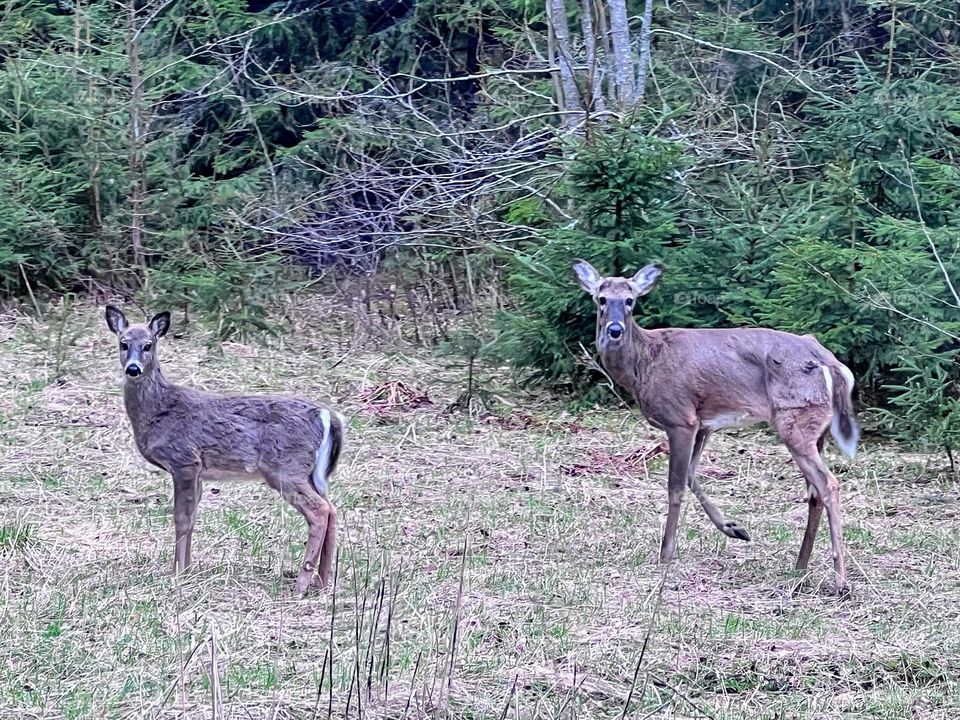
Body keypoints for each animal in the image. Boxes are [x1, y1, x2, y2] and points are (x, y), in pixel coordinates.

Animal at [104, 306, 344, 596]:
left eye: (148, 344)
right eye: (123, 343)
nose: (133, 369)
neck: (159, 410)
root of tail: (327, 416)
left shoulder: (184, 460)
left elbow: (181, 518)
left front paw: (177, 574)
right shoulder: (198, 472)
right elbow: (192, 518)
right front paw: (187, 568)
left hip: (286, 468)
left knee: (320, 510)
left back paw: (301, 585)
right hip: (314, 473)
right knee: (332, 509)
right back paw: (323, 583)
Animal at [568, 260, 864, 596]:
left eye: (630, 300)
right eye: (601, 299)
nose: (615, 329)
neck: (643, 364)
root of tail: (832, 364)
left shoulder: (680, 417)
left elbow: (675, 487)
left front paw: (665, 554)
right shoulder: (703, 423)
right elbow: (691, 475)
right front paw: (735, 529)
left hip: (795, 420)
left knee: (828, 484)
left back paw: (840, 581)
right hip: (813, 427)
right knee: (814, 491)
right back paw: (800, 567)